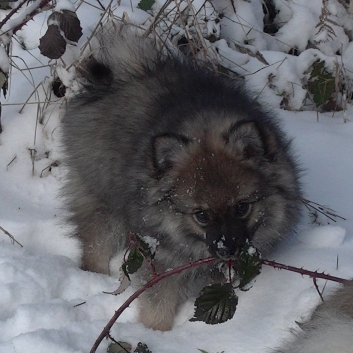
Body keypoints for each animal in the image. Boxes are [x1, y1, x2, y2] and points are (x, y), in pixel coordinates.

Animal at [62, 22, 302, 330]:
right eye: (201, 215)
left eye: (242, 207)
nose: (228, 248)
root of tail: (124, 72)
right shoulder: (165, 261)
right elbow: (158, 303)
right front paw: (154, 332)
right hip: (103, 201)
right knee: (96, 244)